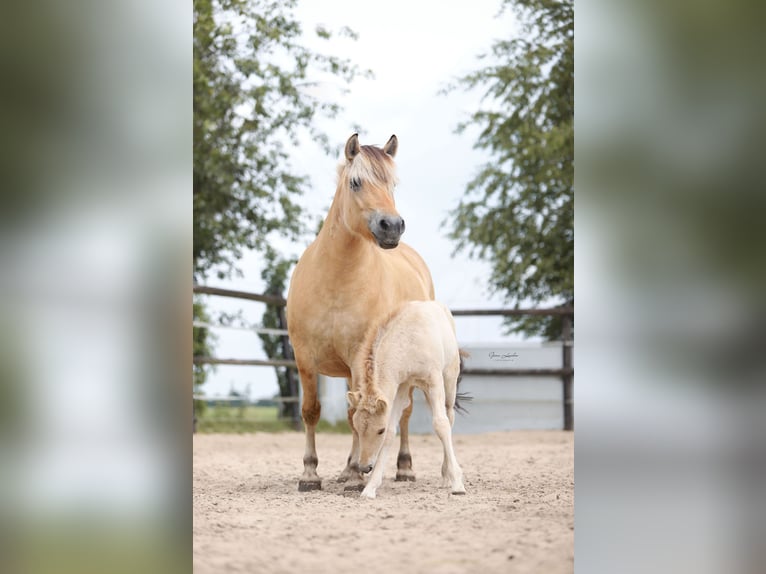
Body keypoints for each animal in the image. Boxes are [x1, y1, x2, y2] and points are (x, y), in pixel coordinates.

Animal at [286, 133, 434, 492]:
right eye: (356, 182)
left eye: (393, 183)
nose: (392, 226)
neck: (336, 281)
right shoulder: (304, 359)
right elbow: (313, 411)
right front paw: (311, 474)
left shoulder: (359, 358)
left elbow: (359, 419)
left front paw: (355, 476)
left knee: (404, 413)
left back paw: (403, 468)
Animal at [346, 300, 467, 499]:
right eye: (356, 428)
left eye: (379, 430)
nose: (364, 467)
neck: (408, 343)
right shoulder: (400, 386)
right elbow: (391, 433)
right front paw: (370, 488)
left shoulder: (434, 380)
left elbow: (441, 425)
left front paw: (457, 483)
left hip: (449, 380)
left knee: (448, 417)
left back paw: (447, 477)